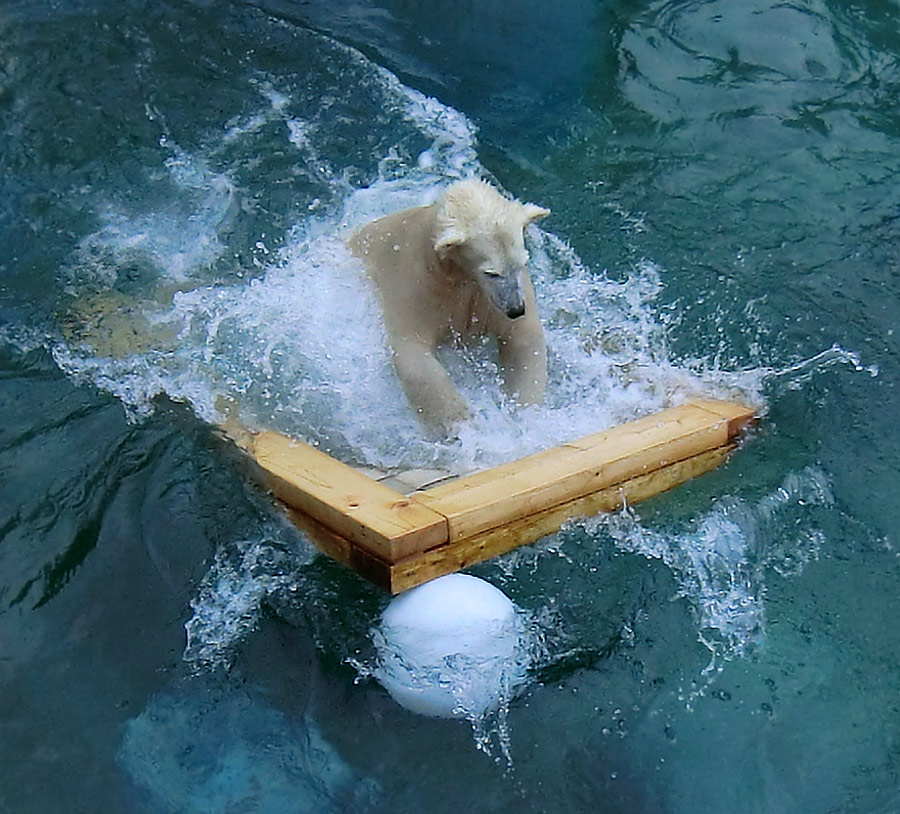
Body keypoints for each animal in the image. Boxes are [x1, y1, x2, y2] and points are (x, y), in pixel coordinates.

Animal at [350, 178, 548, 434]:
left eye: (522, 262)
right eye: (491, 272)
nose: (515, 309)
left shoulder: (486, 297)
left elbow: (523, 341)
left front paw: (524, 414)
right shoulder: (413, 282)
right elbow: (412, 354)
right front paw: (461, 426)